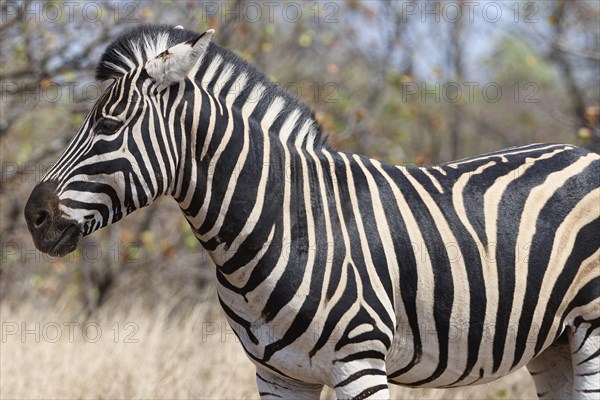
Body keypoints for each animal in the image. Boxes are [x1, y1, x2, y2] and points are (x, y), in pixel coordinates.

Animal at [24, 24, 600, 396]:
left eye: (108, 125)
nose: (34, 216)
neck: (282, 223)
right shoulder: (279, 375)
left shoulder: (360, 364)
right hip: (553, 344)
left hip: (591, 330)